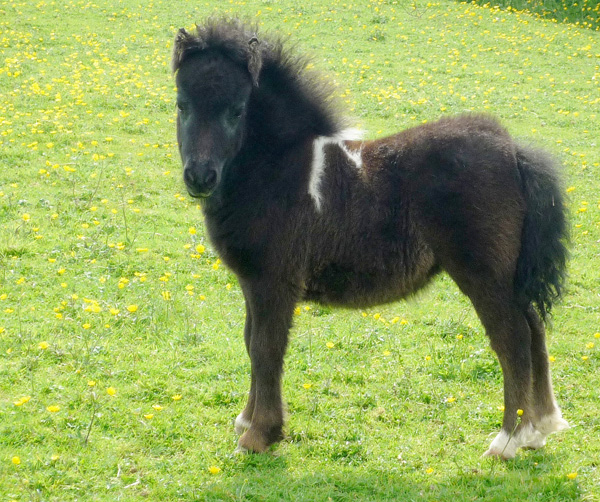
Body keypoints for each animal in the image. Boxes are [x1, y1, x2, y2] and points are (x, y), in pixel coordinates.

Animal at [171, 18, 568, 458]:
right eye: (182, 104)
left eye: (237, 110)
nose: (200, 177)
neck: (279, 169)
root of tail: (513, 150)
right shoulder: (251, 281)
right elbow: (250, 342)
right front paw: (247, 420)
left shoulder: (274, 281)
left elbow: (266, 348)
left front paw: (259, 435)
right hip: (508, 275)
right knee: (534, 330)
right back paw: (540, 428)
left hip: (484, 275)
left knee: (512, 339)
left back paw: (508, 440)